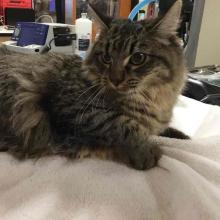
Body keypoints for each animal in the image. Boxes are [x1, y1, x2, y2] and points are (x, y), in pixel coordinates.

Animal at [0, 0, 187, 170]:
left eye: (138, 58)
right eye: (106, 58)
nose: (115, 80)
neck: (151, 99)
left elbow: (164, 130)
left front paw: (182, 136)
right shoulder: (76, 108)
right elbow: (120, 123)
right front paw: (146, 151)